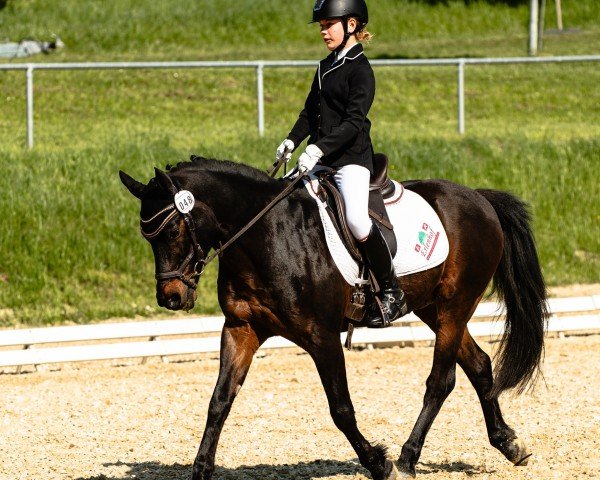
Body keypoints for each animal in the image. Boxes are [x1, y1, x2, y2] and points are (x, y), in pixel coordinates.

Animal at [119, 158, 548, 480]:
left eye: (173, 230)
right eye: (148, 238)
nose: (171, 298)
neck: (264, 236)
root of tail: (478, 198)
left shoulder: (320, 336)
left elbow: (341, 409)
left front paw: (380, 463)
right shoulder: (242, 330)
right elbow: (219, 401)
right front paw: (201, 469)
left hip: (454, 307)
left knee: (440, 382)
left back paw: (408, 459)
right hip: (434, 309)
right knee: (479, 365)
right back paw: (509, 444)